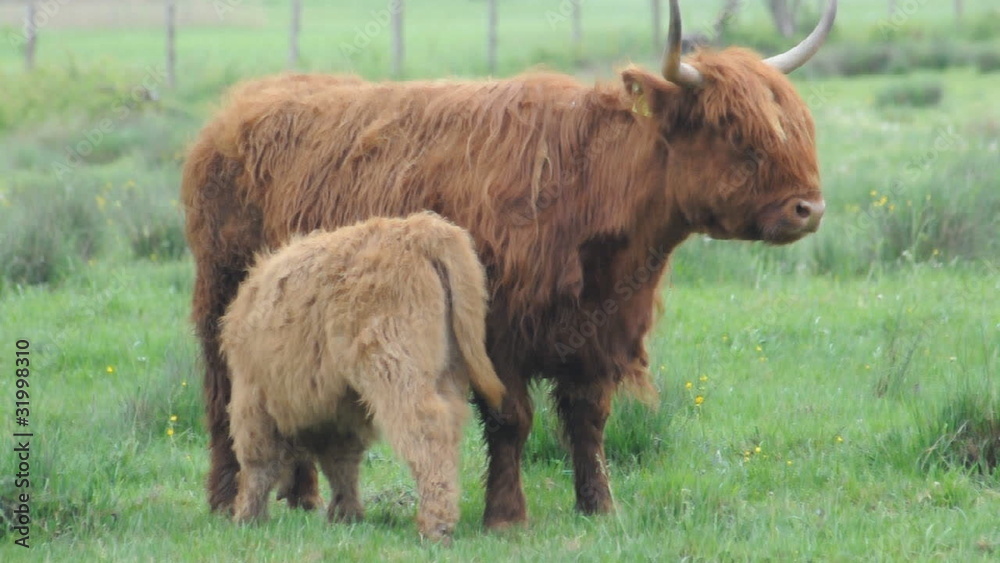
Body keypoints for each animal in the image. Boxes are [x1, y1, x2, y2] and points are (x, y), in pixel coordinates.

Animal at [220, 212, 504, 542]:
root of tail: (421, 229)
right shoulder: (341, 407)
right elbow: (342, 460)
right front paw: (346, 514)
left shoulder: (252, 395)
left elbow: (257, 460)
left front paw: (247, 516)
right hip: (448, 373)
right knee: (448, 433)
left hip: (396, 366)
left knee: (425, 428)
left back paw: (435, 525)